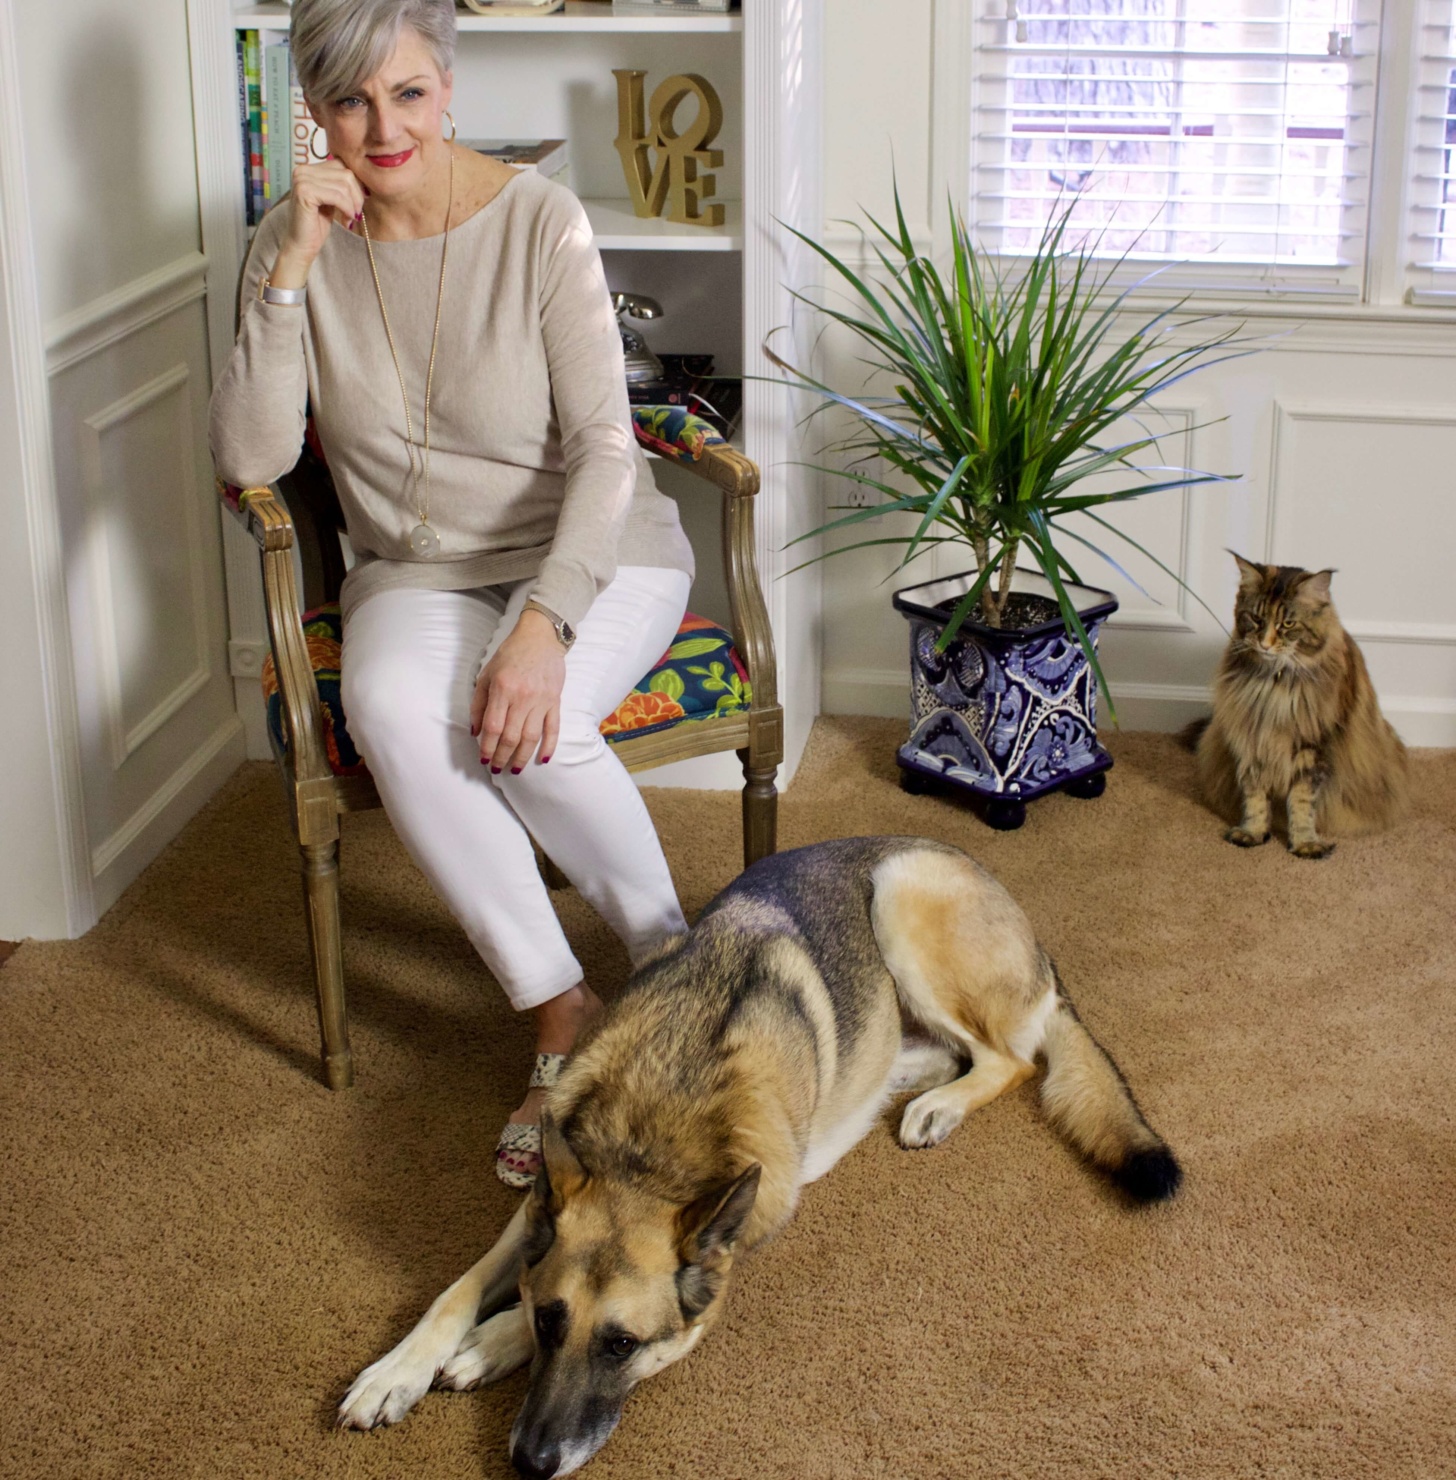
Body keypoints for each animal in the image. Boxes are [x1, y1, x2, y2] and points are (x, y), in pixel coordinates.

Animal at [335, 840, 1177, 1474]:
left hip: (900, 895)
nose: (529, 1464)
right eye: (552, 1322)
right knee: (949, 1052)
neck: (653, 1139)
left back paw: (936, 1104)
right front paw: (400, 1370)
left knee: (1012, 1059)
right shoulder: (543, 1199)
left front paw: (489, 1342)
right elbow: (456, 1289)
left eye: (622, 1345)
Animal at [1189, 553, 1402, 858]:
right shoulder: (1252, 738)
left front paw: (1304, 843)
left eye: (1287, 625)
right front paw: (1253, 833)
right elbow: (1255, 797)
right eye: (1256, 618)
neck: (1274, 686)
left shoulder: (1312, 747)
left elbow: (1302, 803)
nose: (1265, 644)